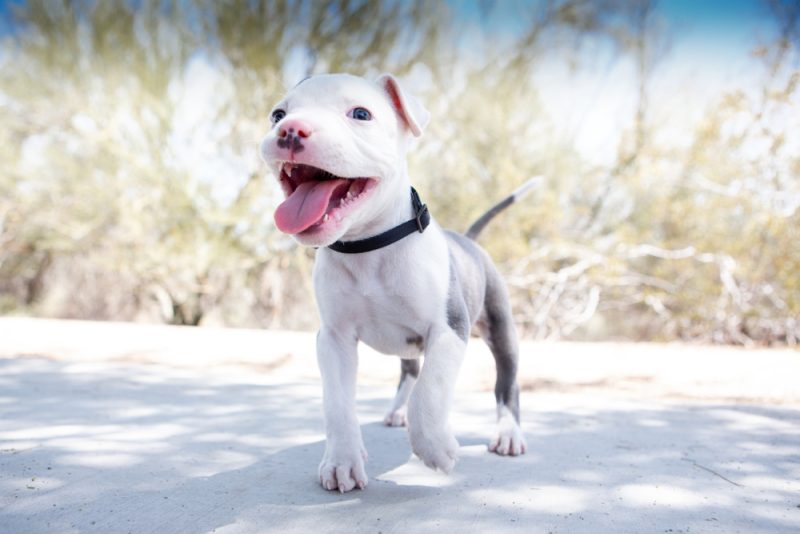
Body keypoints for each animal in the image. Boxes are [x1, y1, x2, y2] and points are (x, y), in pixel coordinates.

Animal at [260, 74, 536, 494]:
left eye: (360, 114)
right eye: (278, 114)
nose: (290, 130)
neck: (368, 246)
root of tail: (467, 239)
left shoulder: (449, 329)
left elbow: (431, 391)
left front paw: (436, 448)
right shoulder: (334, 339)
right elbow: (338, 403)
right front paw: (342, 461)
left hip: (501, 328)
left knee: (506, 384)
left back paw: (508, 434)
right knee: (409, 372)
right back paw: (395, 412)